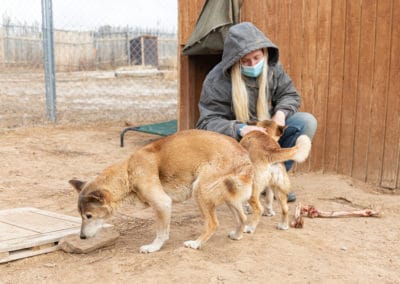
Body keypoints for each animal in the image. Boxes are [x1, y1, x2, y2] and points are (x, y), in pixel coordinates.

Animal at [68, 129, 253, 253]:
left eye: (88, 216)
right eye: (80, 215)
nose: (81, 237)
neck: (129, 172)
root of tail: (243, 154)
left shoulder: (162, 203)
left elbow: (161, 233)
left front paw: (153, 247)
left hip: (199, 190)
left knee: (213, 223)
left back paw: (196, 244)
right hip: (229, 195)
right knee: (242, 218)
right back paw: (237, 235)